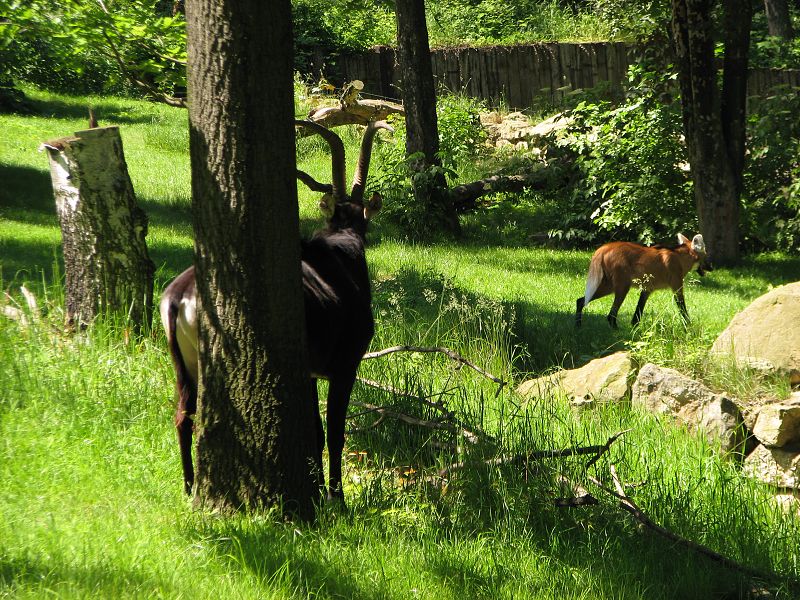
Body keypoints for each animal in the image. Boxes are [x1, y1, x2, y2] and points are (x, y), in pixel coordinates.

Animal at [160, 119, 390, 502]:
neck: (342, 245)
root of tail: (180, 295)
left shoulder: (309, 372)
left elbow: (314, 431)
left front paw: (319, 491)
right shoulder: (345, 366)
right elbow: (334, 432)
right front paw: (337, 497)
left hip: (185, 364)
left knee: (183, 416)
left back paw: (190, 488)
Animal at [575, 233, 710, 328]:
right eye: (706, 257)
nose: (711, 267)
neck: (680, 258)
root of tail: (604, 247)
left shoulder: (647, 289)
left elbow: (638, 311)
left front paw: (635, 328)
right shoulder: (676, 286)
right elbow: (682, 308)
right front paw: (688, 325)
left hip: (608, 286)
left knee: (580, 300)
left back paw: (578, 326)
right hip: (622, 286)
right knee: (611, 314)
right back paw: (617, 331)